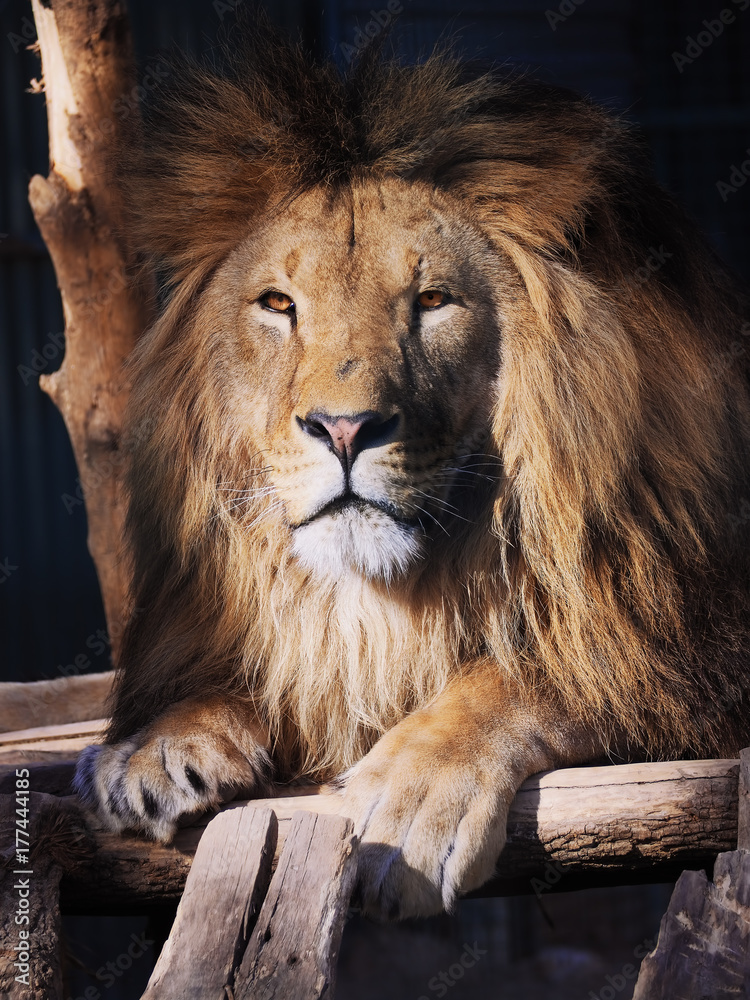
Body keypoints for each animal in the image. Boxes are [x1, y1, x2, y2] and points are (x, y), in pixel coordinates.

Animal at [74, 26, 750, 920]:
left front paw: (408, 796)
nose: (344, 428)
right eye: (279, 305)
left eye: (433, 301)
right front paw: (154, 747)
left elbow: (539, 668)